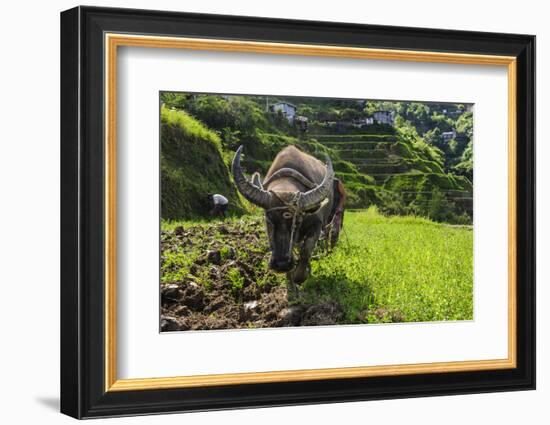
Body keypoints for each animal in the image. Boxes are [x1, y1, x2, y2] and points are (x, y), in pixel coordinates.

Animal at [233, 144, 336, 286]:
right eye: (269, 219)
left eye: (297, 221)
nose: (281, 264)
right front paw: (290, 278)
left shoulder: (317, 223)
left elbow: (306, 251)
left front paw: (300, 276)